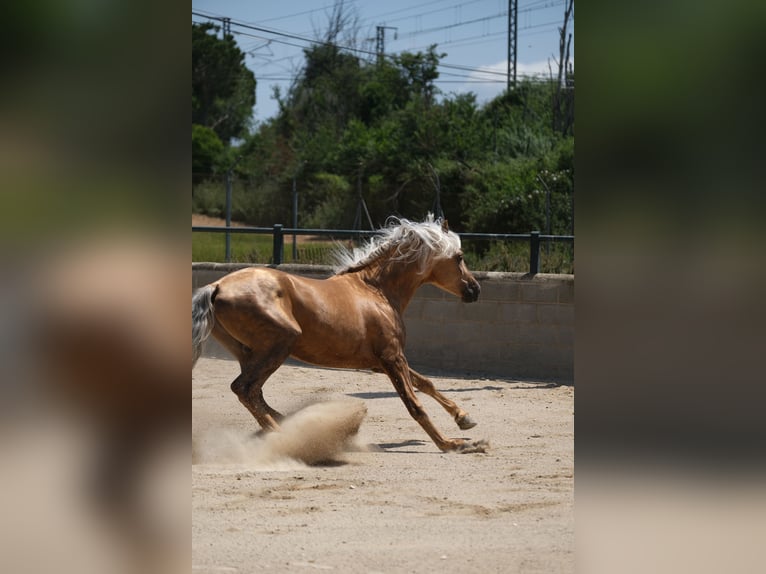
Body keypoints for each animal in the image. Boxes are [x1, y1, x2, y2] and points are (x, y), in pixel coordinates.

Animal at [194, 216, 492, 454]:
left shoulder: (382, 362)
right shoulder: (392, 358)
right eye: (459, 257)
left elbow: (426, 383)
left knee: (254, 394)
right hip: (280, 345)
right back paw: (286, 439)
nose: (475, 290)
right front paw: (454, 444)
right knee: (245, 389)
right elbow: (414, 404)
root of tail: (217, 286)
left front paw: (464, 419)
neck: (376, 290)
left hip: (249, 353)